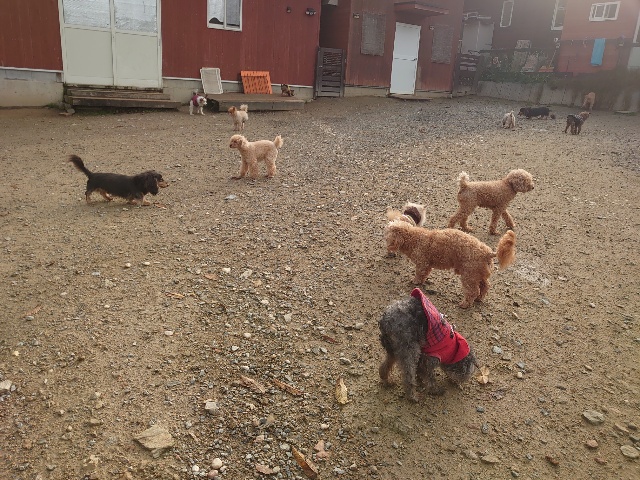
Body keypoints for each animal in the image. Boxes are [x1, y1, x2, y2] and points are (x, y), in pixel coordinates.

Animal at [384, 219, 516, 308]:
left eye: (388, 232)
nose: (383, 234)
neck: (414, 238)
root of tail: (488, 253)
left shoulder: (422, 262)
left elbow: (419, 273)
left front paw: (415, 281)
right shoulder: (427, 264)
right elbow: (424, 274)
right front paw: (421, 281)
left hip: (469, 275)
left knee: (473, 291)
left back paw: (465, 304)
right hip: (478, 274)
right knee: (485, 287)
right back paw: (479, 299)